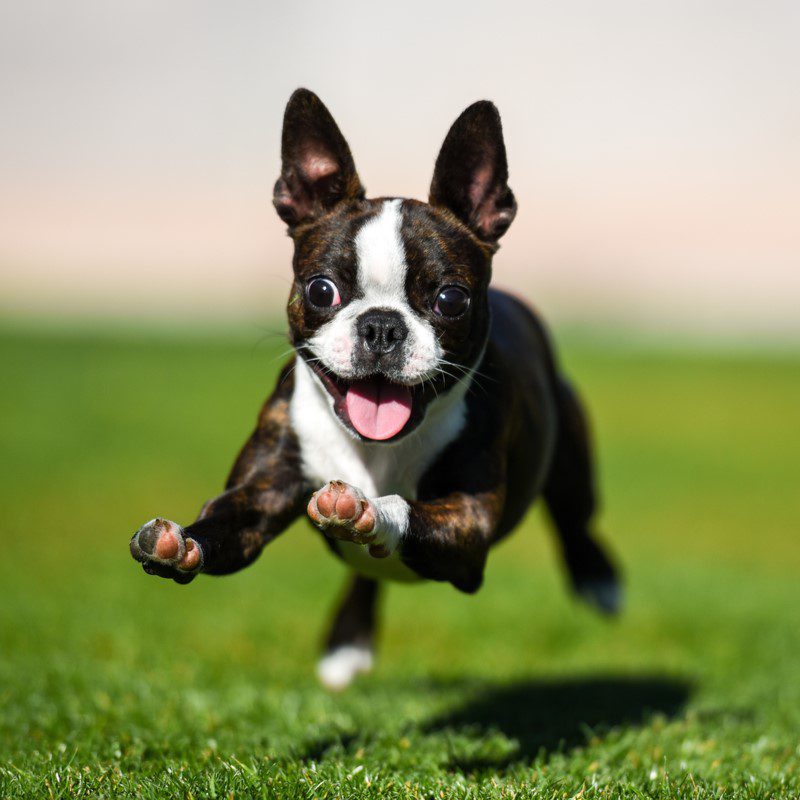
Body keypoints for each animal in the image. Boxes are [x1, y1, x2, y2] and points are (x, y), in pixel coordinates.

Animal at [130, 86, 620, 688]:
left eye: (451, 299)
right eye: (321, 290)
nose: (382, 326)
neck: (375, 450)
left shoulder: (468, 522)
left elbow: (403, 507)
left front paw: (367, 509)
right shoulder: (260, 493)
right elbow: (225, 521)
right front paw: (180, 543)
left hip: (571, 459)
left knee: (577, 518)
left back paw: (599, 580)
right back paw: (348, 641)